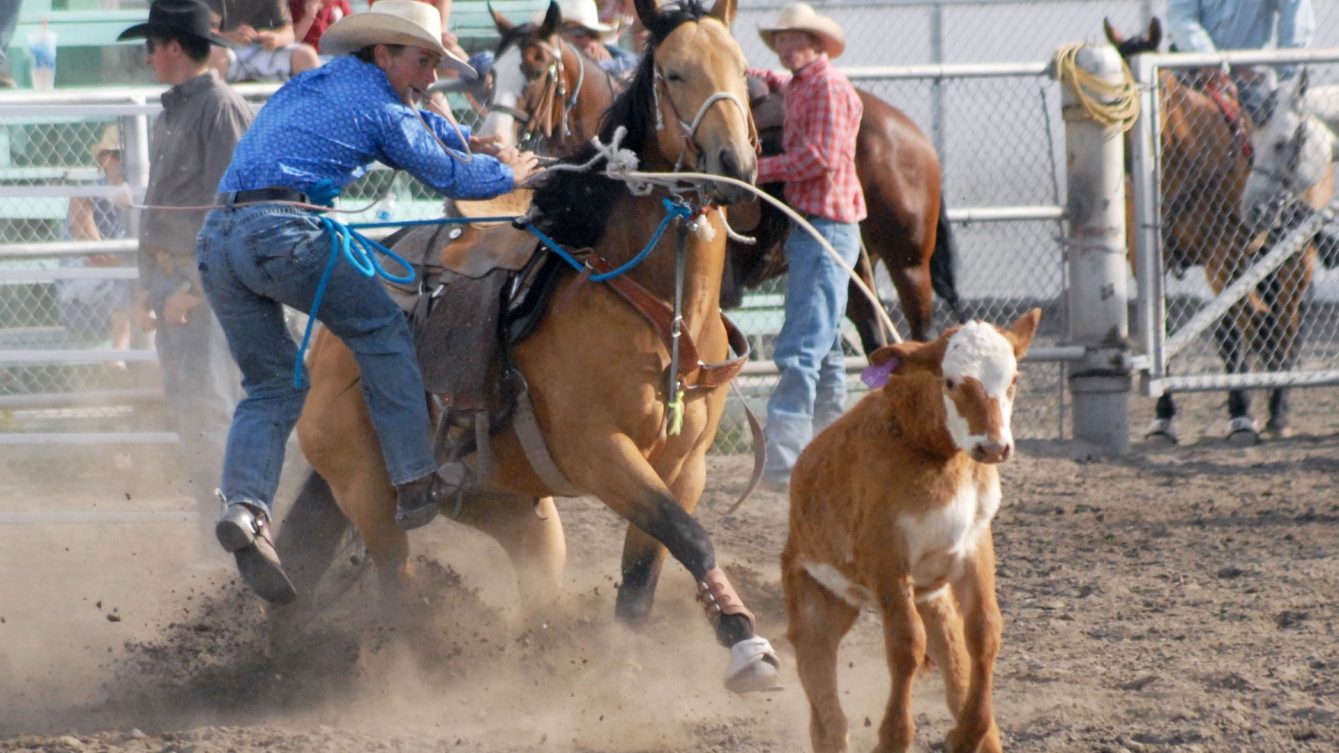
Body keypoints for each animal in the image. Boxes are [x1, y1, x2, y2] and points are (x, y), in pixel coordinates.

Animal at [282, 0, 781, 691]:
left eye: (741, 68)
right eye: (674, 73)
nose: (732, 165)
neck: (660, 308)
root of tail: (329, 348)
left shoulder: (685, 467)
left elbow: (646, 572)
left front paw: (632, 669)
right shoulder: (600, 451)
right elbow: (690, 537)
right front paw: (746, 643)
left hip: (513, 512)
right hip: (370, 494)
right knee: (400, 587)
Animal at [476, 1, 958, 341]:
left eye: (538, 68)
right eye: (492, 72)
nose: (495, 140)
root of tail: (915, 135)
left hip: (909, 263)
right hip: (858, 260)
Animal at [781, 308, 1039, 744]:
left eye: (1014, 379)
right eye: (951, 381)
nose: (992, 447)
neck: (932, 452)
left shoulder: (974, 546)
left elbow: (984, 631)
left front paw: (969, 733)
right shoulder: (885, 555)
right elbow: (906, 645)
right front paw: (895, 735)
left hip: (934, 602)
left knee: (955, 674)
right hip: (815, 610)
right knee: (828, 717)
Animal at [1103, 17, 1312, 442]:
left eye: (1155, 90)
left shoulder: (1223, 257)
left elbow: (1229, 331)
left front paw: (1241, 413)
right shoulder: (1147, 261)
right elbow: (1163, 332)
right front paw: (1164, 417)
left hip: (1292, 259)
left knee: (1286, 325)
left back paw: (1278, 409)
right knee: (1268, 324)